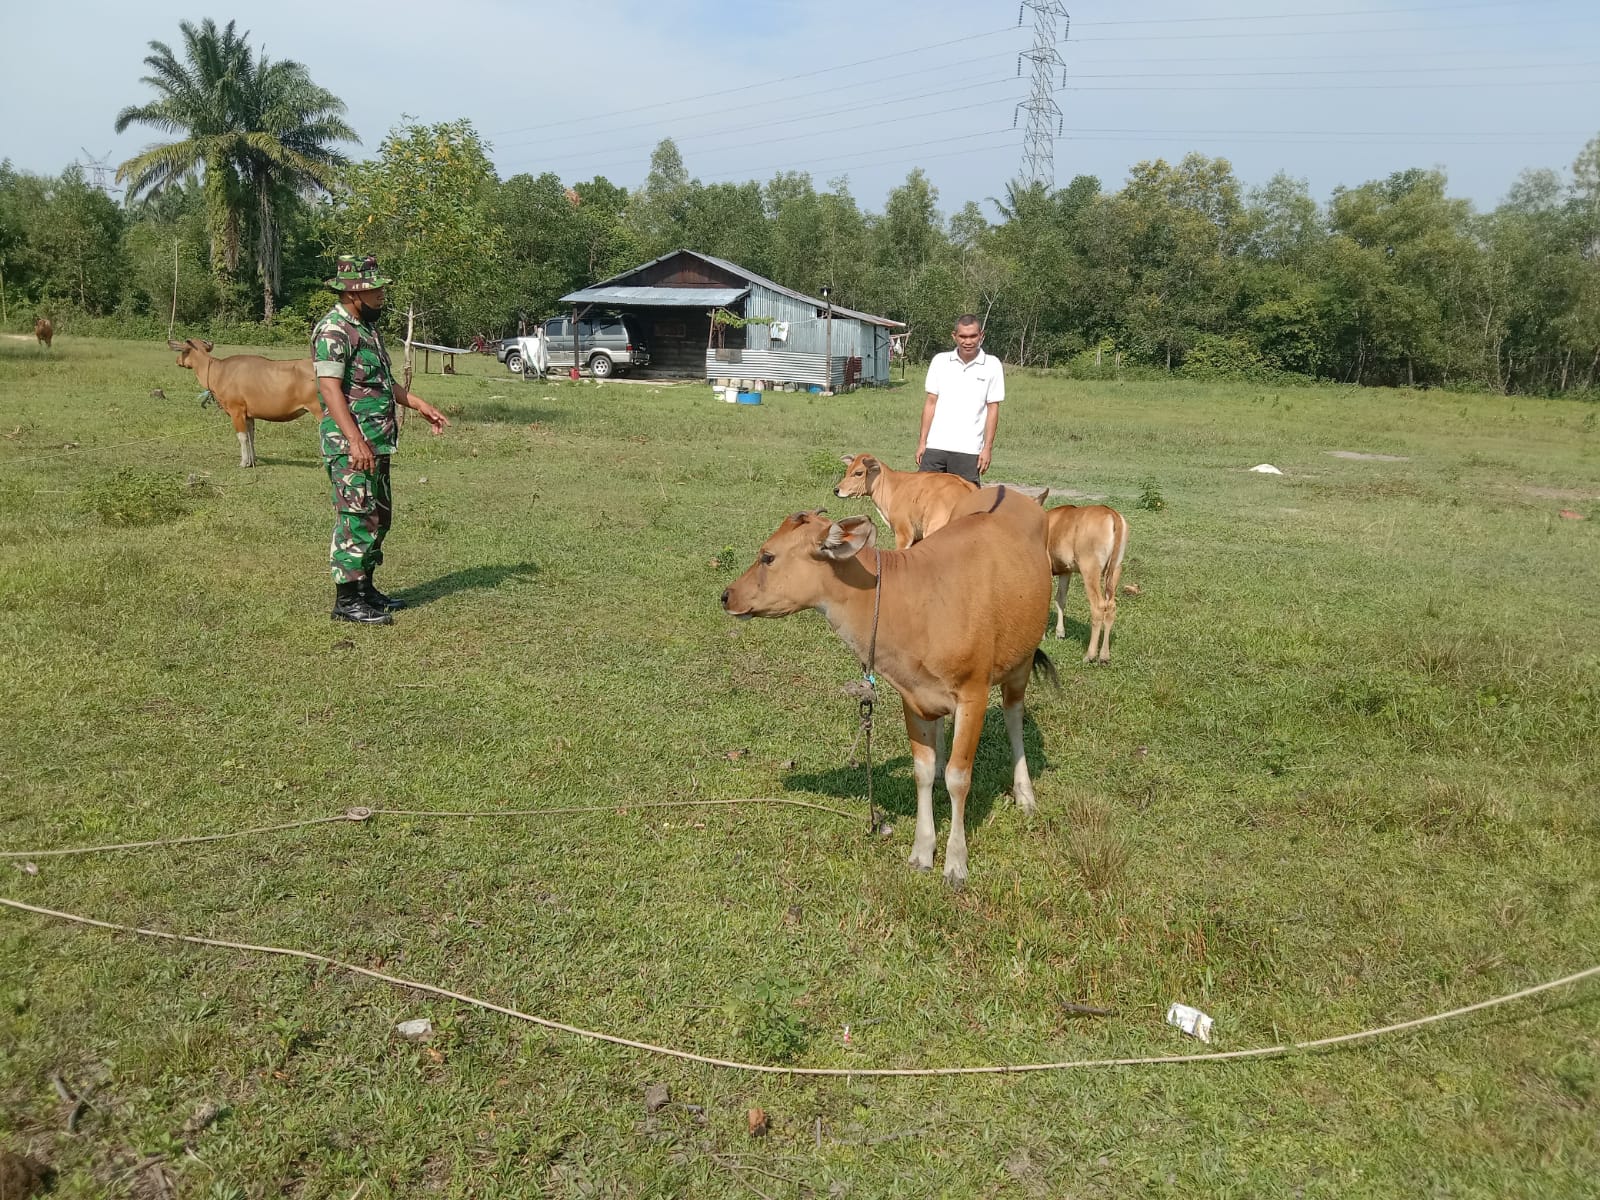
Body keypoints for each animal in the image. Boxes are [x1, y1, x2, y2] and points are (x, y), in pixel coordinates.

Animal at [168, 340, 318, 473]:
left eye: (183, 350)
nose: (177, 360)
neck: (219, 371)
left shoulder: (237, 411)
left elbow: (242, 437)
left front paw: (244, 462)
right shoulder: (248, 415)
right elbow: (251, 436)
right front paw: (252, 461)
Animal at [720, 483, 1056, 889]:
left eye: (767, 556)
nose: (726, 595)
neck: (915, 602)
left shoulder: (973, 692)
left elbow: (960, 777)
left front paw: (955, 862)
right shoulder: (911, 695)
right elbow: (922, 772)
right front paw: (922, 851)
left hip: (1021, 662)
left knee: (1013, 717)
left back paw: (1025, 794)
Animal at [1043, 502, 1132, 662]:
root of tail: (1112, 514)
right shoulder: (1066, 571)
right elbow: (1060, 599)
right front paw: (1060, 633)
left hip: (1090, 568)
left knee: (1098, 606)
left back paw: (1090, 655)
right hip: (1116, 569)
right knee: (1111, 606)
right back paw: (1104, 656)